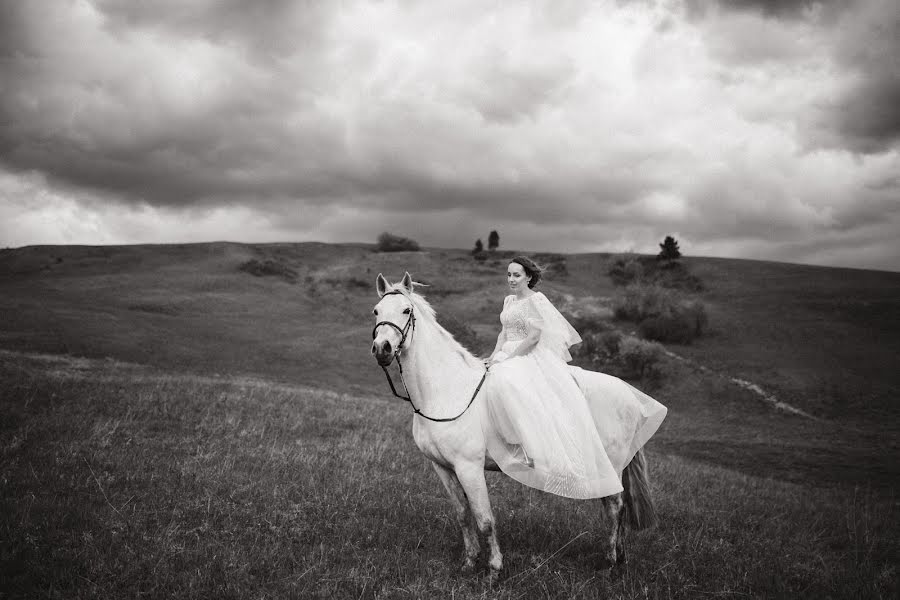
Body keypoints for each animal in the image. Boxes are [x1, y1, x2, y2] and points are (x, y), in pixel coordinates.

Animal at [370, 272, 656, 580]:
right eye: (376, 311)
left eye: (406, 310)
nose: (382, 349)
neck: (448, 391)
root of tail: (630, 396)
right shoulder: (442, 467)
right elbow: (463, 515)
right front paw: (469, 562)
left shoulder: (469, 467)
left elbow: (484, 519)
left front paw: (494, 569)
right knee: (616, 506)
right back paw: (620, 557)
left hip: (611, 462)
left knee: (615, 506)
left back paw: (609, 562)